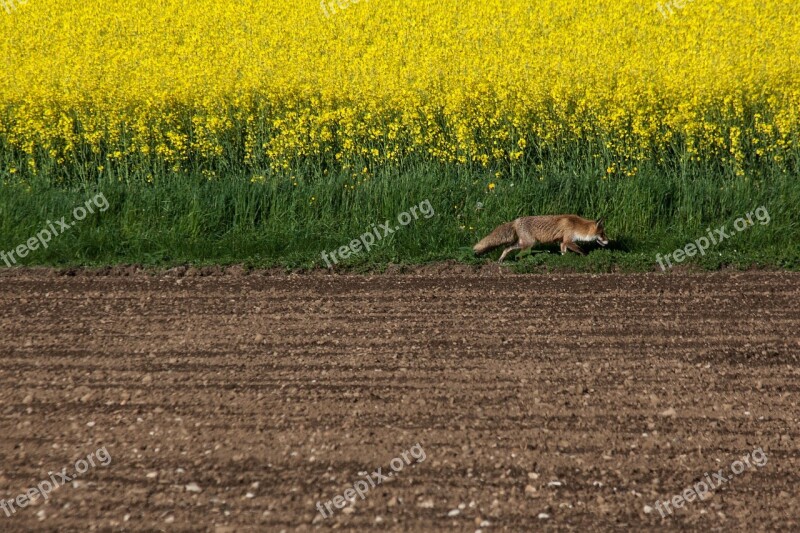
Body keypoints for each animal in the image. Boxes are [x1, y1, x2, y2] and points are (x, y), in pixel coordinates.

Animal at [472, 213, 608, 260]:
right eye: (602, 234)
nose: (608, 241)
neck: (576, 225)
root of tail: (516, 221)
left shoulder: (563, 242)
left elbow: (563, 252)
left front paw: (564, 260)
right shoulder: (568, 240)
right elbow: (581, 250)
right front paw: (587, 256)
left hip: (523, 243)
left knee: (507, 248)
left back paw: (501, 260)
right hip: (529, 244)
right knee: (518, 254)